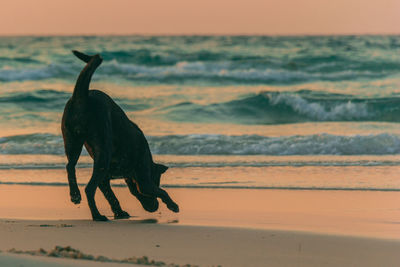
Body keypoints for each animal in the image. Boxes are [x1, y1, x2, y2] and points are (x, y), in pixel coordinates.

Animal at [61, 50, 180, 222]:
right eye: (157, 180)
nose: (154, 208)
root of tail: (82, 96)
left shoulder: (105, 179)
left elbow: (111, 196)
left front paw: (119, 212)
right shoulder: (144, 182)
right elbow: (162, 191)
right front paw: (173, 205)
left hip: (73, 142)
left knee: (70, 166)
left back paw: (75, 195)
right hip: (101, 154)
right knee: (89, 188)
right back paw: (97, 215)